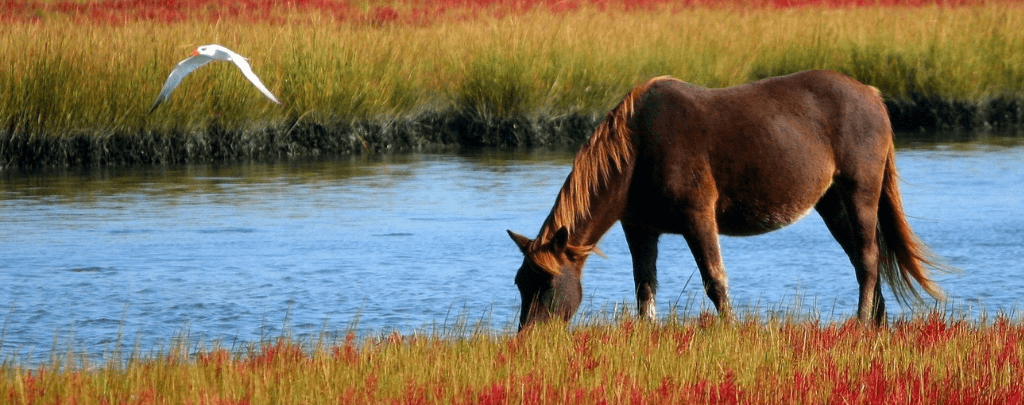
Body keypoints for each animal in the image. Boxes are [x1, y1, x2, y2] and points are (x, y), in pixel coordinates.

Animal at [507, 69, 946, 329]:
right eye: (520, 283)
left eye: (546, 283)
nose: (529, 339)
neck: (638, 147)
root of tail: (872, 95)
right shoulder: (640, 228)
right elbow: (644, 287)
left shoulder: (698, 217)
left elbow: (715, 281)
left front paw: (730, 330)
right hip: (832, 203)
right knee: (862, 259)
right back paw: (876, 323)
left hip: (860, 191)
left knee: (869, 259)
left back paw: (860, 324)